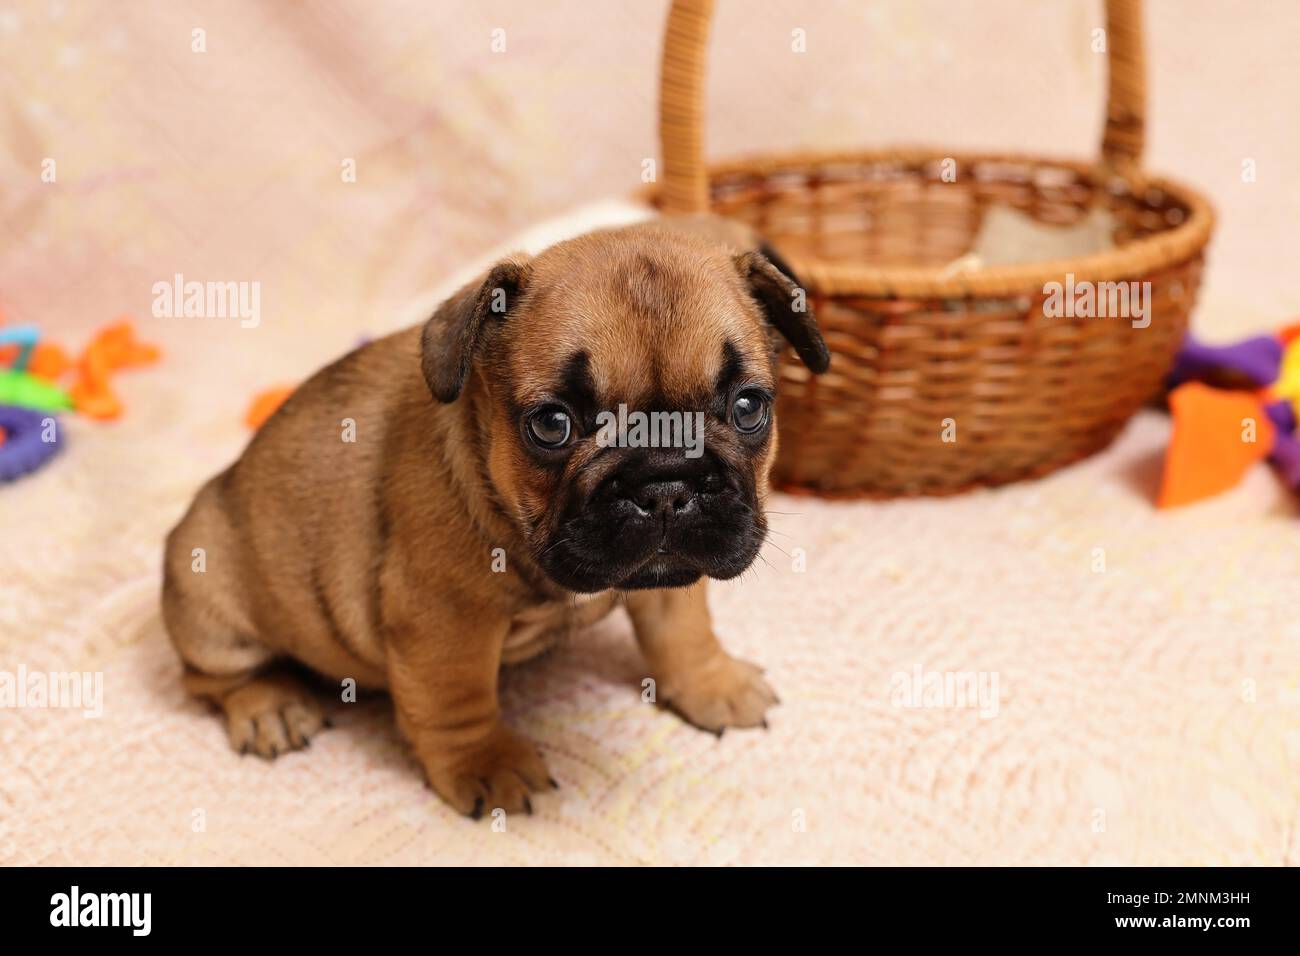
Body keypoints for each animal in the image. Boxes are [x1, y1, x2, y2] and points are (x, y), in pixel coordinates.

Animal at [162, 217, 826, 816]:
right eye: (552, 424)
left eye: (749, 407)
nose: (665, 483)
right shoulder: (444, 621)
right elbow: (458, 701)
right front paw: (486, 763)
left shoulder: (670, 576)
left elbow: (684, 631)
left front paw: (713, 683)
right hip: (211, 598)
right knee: (208, 678)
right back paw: (269, 706)